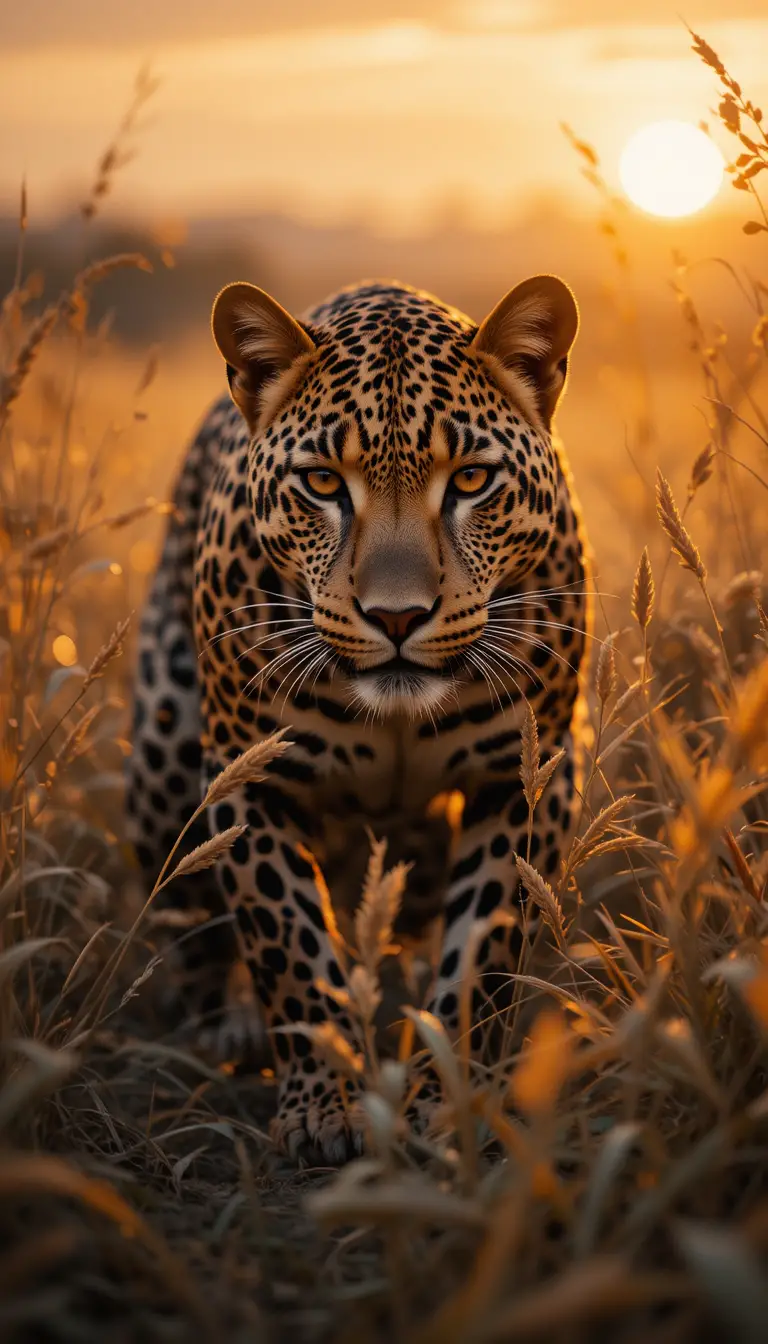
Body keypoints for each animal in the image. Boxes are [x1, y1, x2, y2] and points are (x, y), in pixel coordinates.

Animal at [126, 274, 592, 1163]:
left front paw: (445, 1105)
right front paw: (321, 1105)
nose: (397, 616)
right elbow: (288, 947)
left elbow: (482, 954)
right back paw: (226, 1025)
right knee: (190, 919)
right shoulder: (250, 779)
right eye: (322, 485)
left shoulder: (524, 777)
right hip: (164, 751)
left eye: (471, 481)